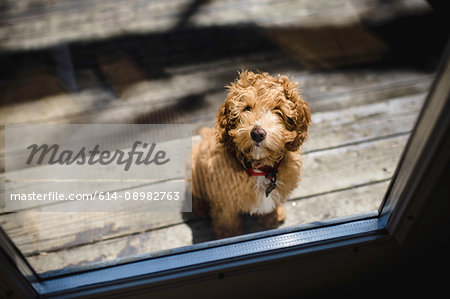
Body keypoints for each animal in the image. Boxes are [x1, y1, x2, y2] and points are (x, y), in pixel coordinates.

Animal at [192, 69, 312, 239]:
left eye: (278, 111)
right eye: (247, 108)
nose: (257, 133)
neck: (259, 167)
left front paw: (272, 217)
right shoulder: (224, 197)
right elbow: (226, 218)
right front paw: (229, 235)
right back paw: (201, 207)